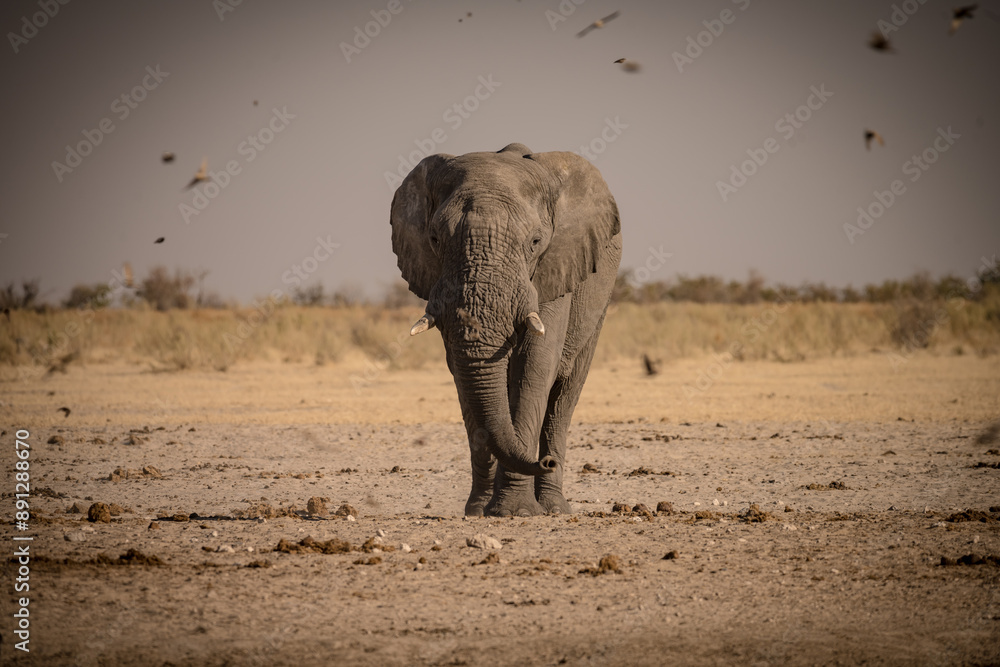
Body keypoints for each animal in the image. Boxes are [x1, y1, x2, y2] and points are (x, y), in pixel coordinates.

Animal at [390, 143, 622, 517]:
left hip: (600, 298)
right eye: (435, 239)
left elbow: (534, 365)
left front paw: (517, 512)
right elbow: (463, 373)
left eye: (536, 241)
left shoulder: (555, 269)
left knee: (564, 395)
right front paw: (478, 511)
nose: (544, 462)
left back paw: (554, 507)